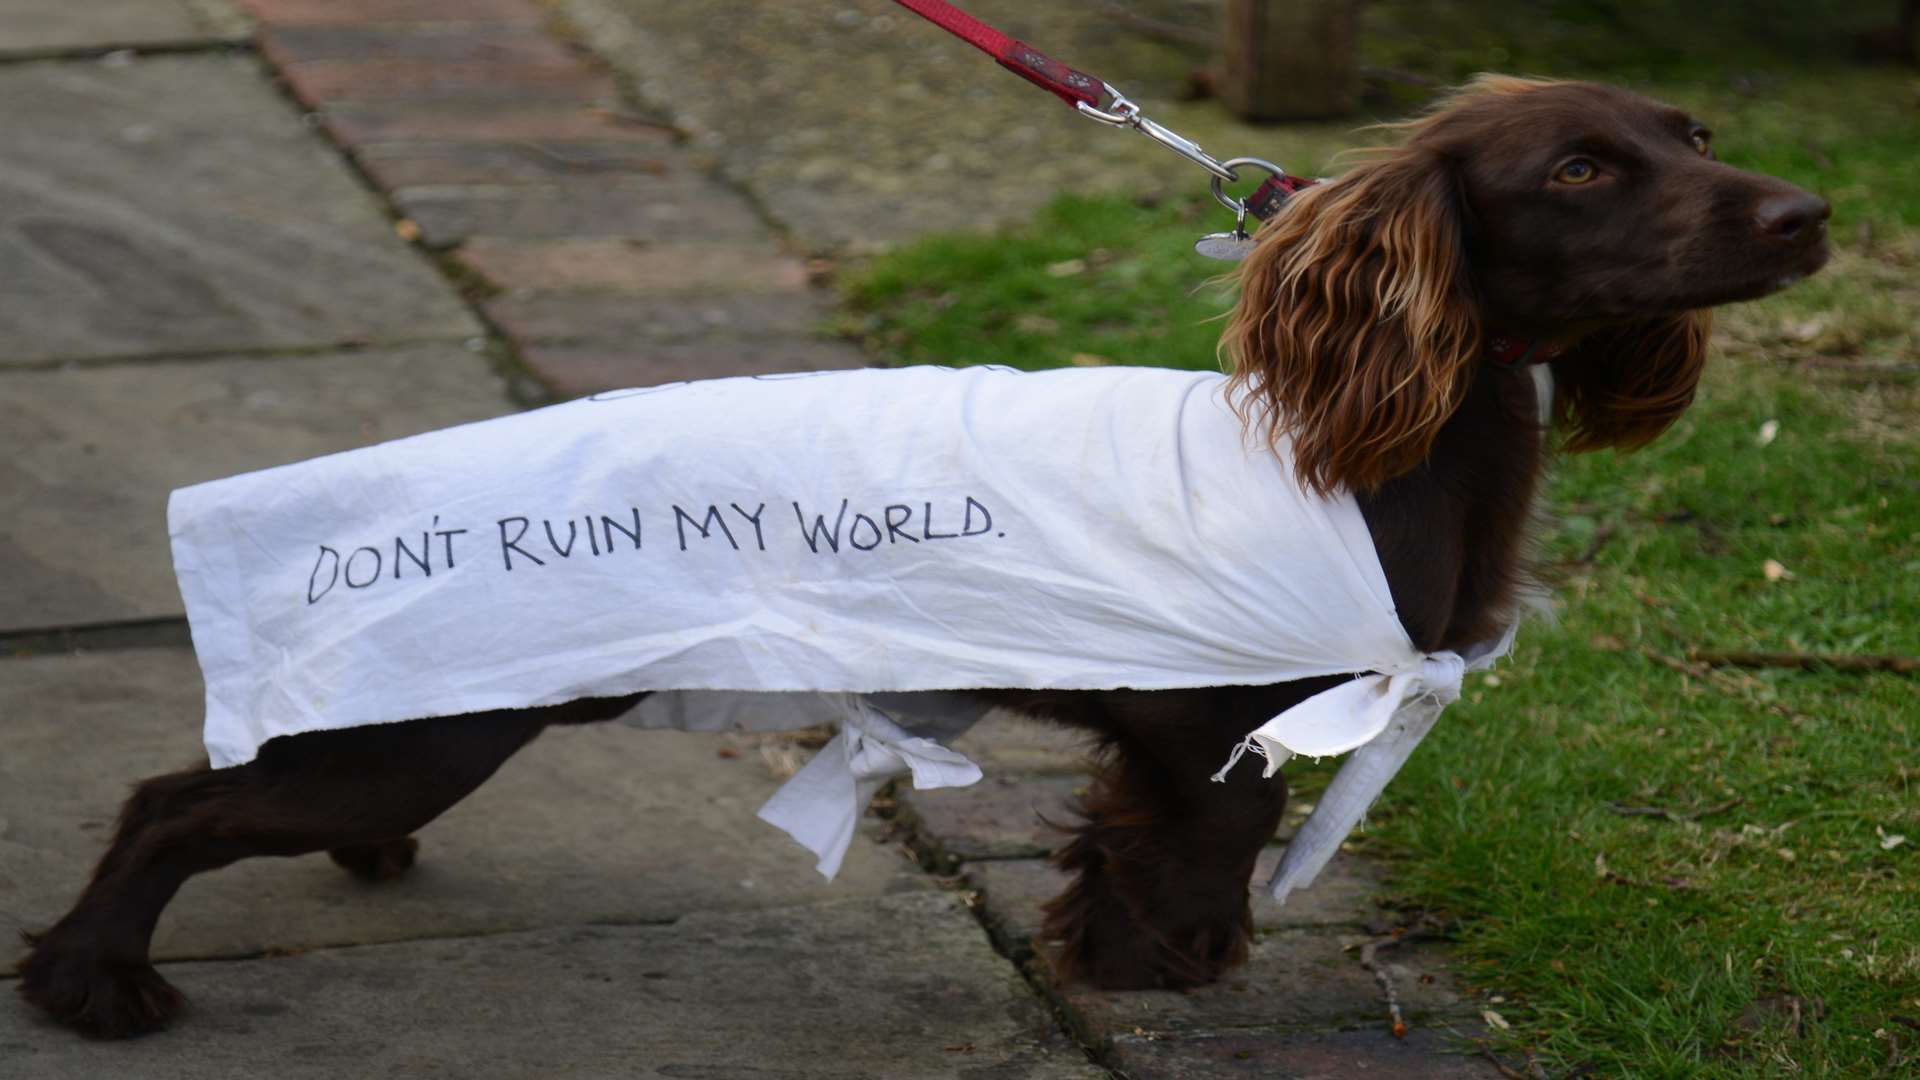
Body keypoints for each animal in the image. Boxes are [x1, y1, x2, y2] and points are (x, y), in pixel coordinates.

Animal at [22, 77, 1835, 1037]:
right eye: (1582, 167)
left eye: (1691, 131)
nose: (1812, 211)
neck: (1364, 448)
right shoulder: (1219, 734)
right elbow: (1198, 865)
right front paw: (1173, 983)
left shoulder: (1157, 746)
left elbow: (1125, 859)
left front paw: (1118, 964)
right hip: (426, 729)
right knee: (172, 803)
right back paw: (93, 980)